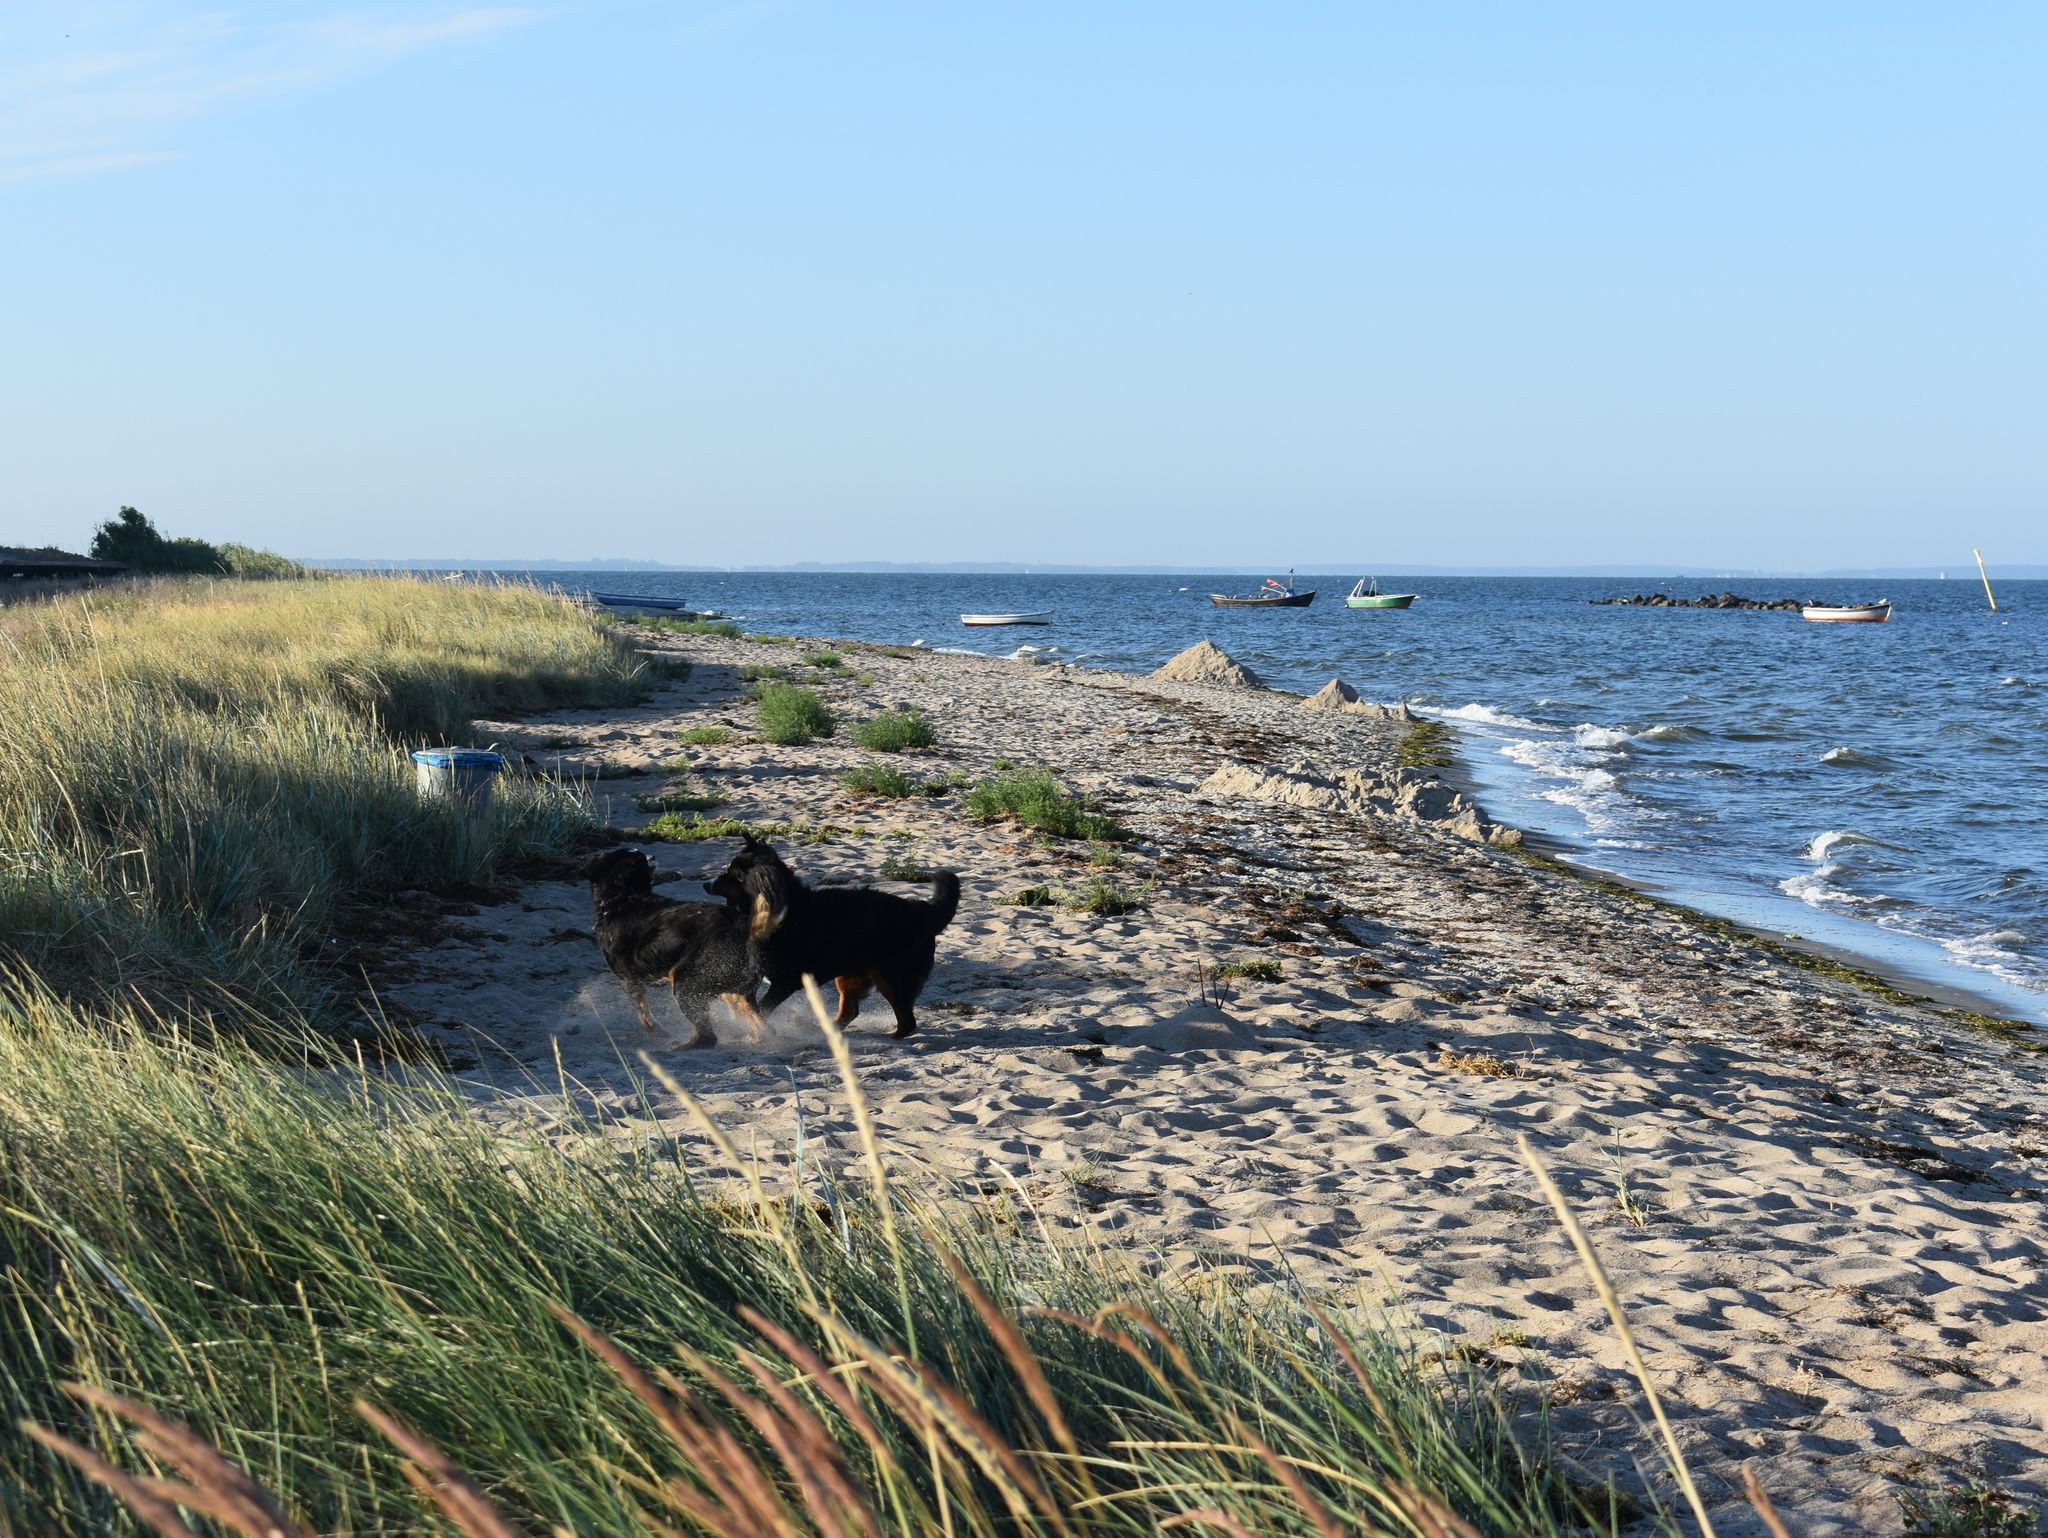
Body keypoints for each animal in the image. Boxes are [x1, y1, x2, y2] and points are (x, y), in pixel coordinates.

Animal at [589, 847, 786, 1056]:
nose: (653, 856)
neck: (621, 899)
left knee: (708, 1037)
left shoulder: (630, 980)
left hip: (686, 986)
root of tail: (747, 931)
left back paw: (682, 1047)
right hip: (734, 991)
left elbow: (644, 1017)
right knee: (764, 1028)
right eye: (641, 857)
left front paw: (659, 1033)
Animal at [704, 835, 958, 1040]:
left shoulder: (786, 981)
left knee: (907, 1020)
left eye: (734, 875)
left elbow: (762, 1010)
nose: (706, 884)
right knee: (850, 1011)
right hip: (849, 975)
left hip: (893, 977)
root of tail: (923, 911)